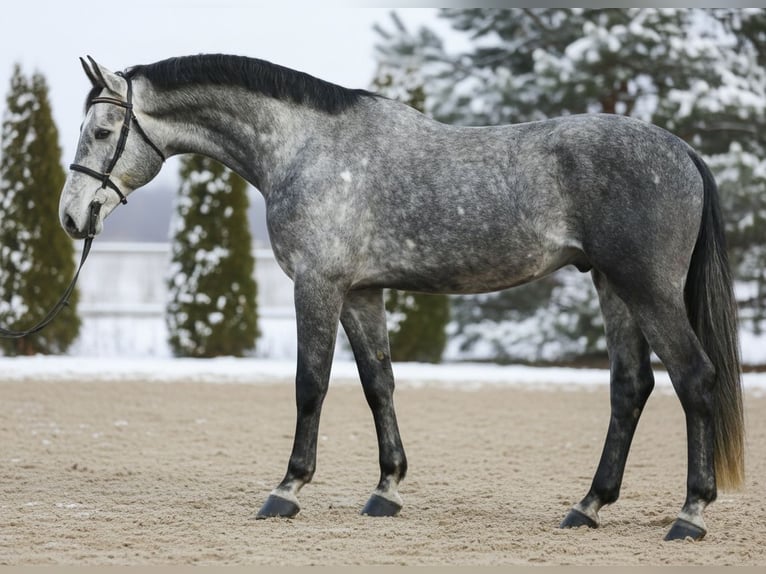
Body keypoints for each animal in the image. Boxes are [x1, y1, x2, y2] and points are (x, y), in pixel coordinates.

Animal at [59, 54, 745, 541]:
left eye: (103, 129)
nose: (71, 216)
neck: (307, 148)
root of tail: (682, 150)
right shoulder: (362, 293)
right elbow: (377, 384)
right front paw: (386, 490)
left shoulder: (318, 285)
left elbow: (311, 385)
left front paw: (288, 489)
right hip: (613, 287)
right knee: (631, 387)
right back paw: (588, 506)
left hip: (647, 289)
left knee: (695, 379)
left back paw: (690, 514)